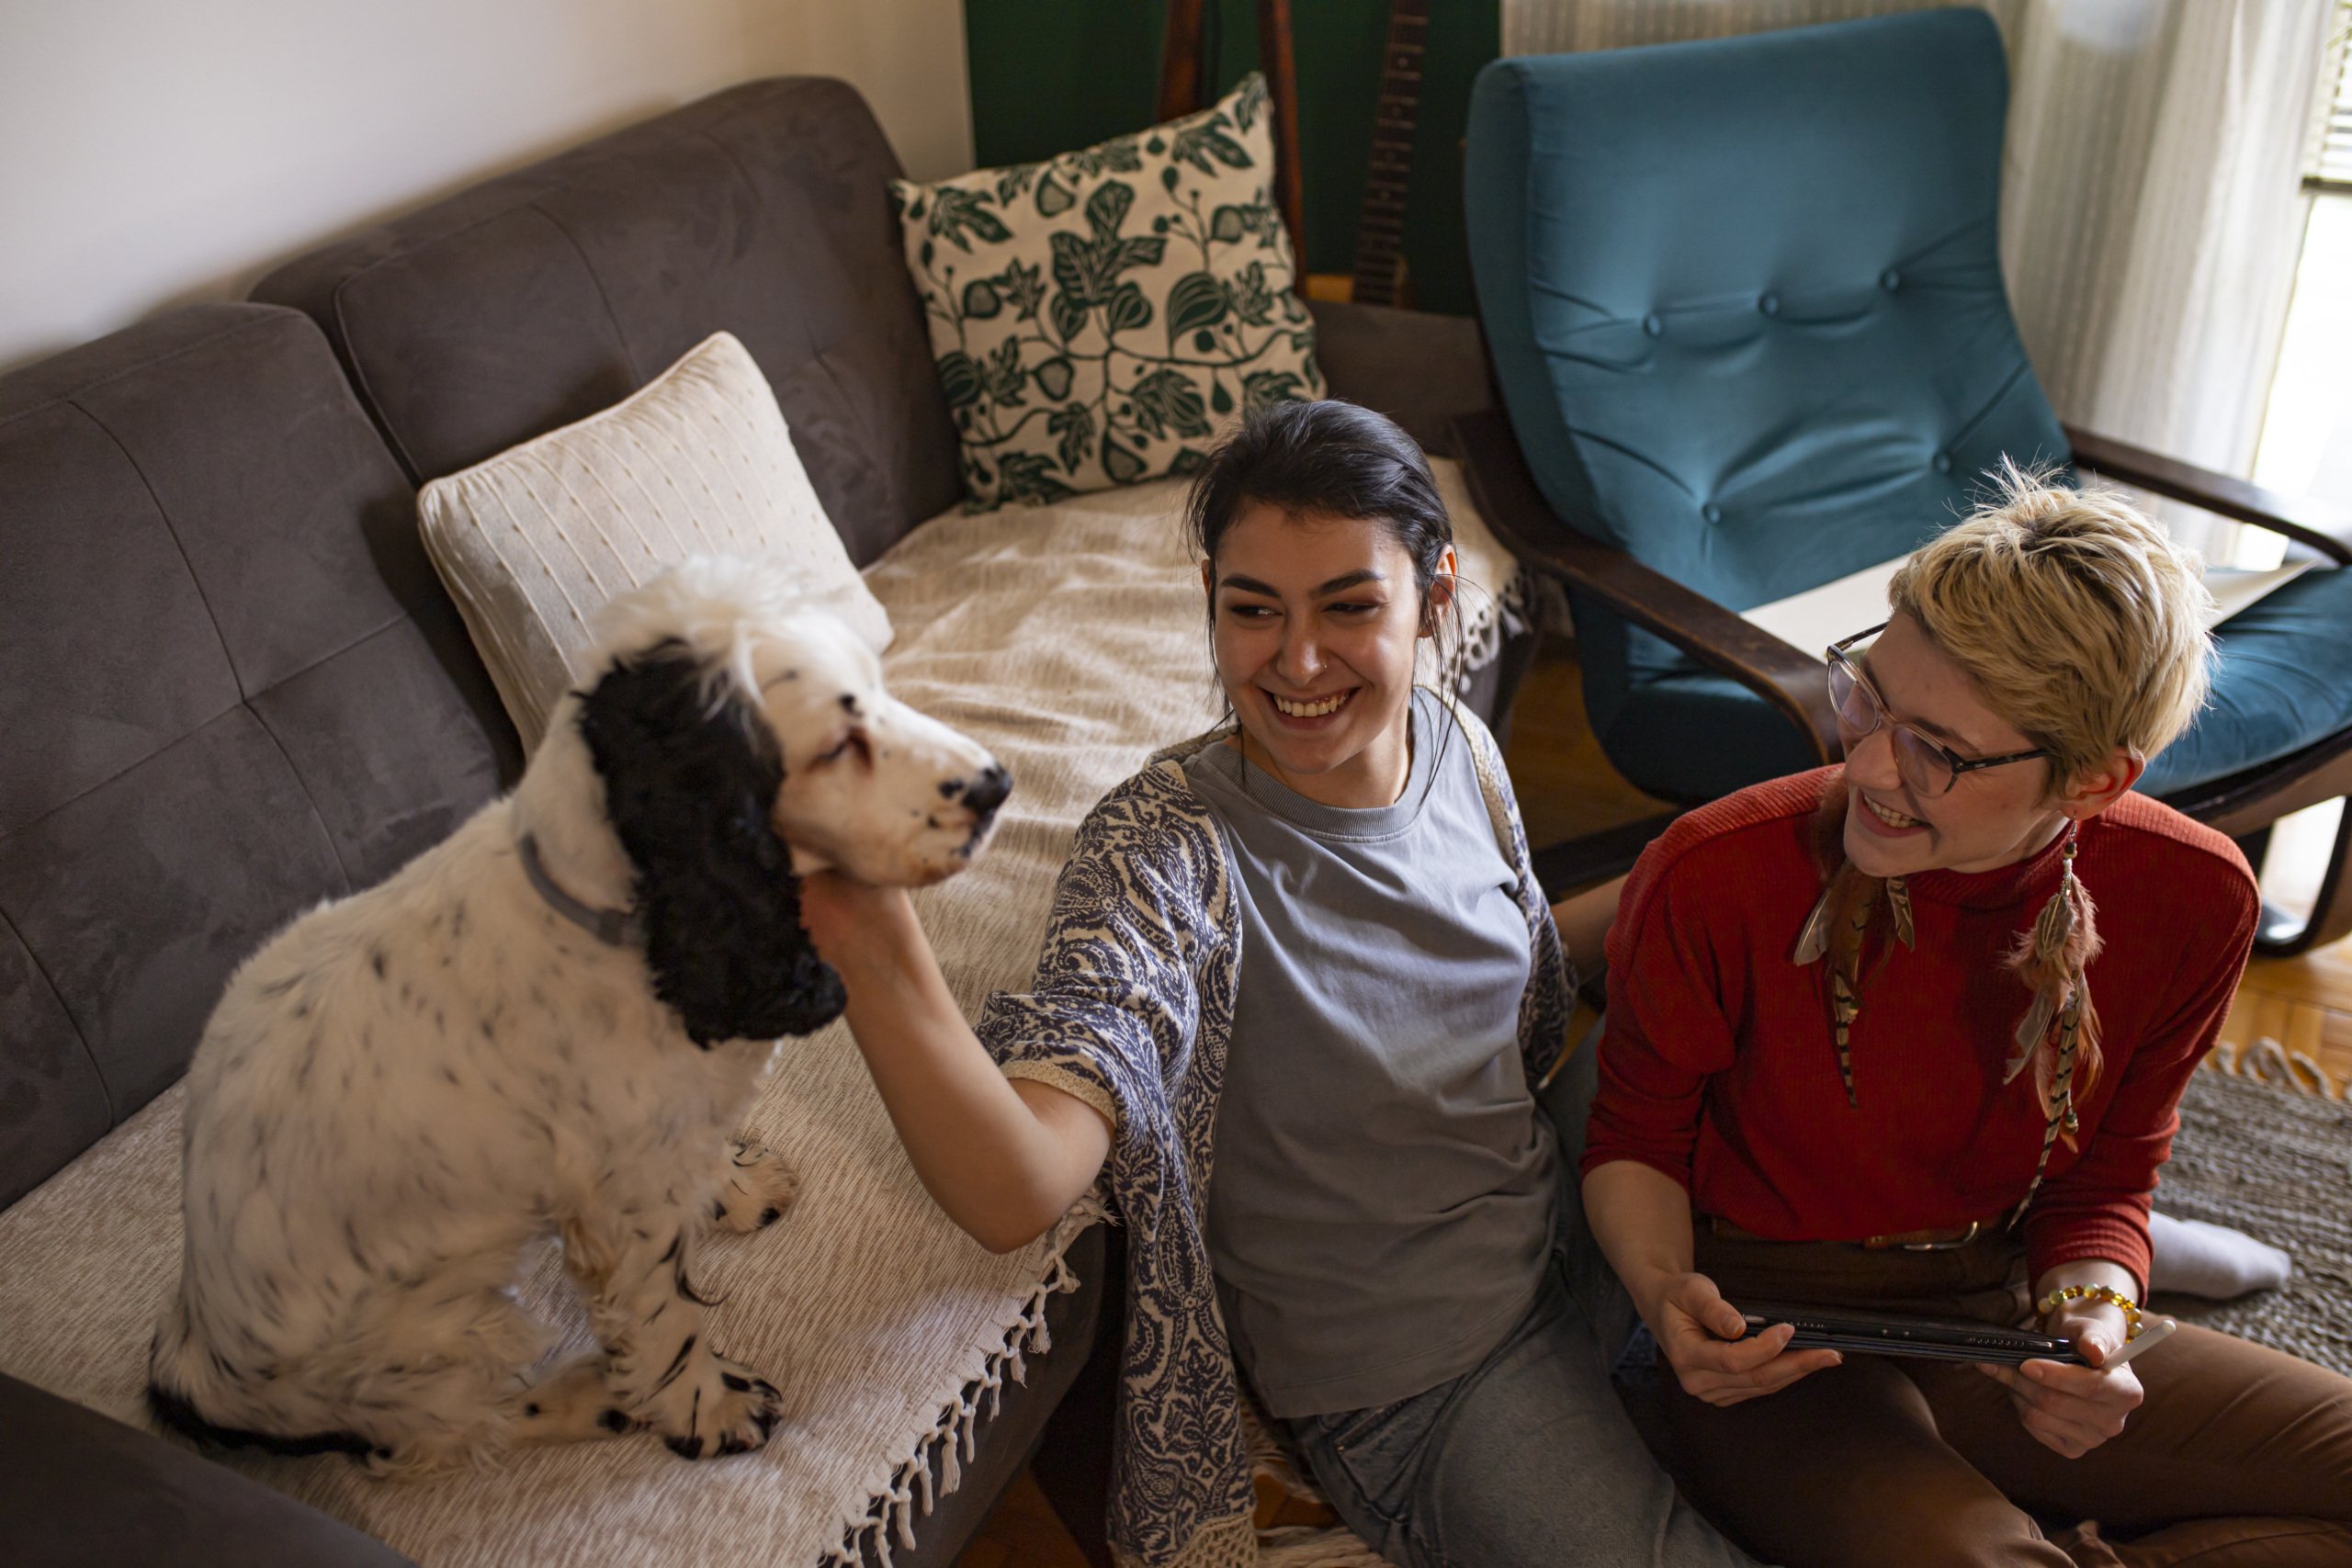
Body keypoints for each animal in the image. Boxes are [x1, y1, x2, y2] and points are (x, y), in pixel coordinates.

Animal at [148, 556, 1009, 1473]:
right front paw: (707, 1409)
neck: (620, 917)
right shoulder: (619, 1203)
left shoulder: (664, 1136)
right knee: (445, 1426)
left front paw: (737, 1189)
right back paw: (590, 1399)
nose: (998, 785)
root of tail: (190, 1361)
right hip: (433, 1334)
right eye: (837, 744)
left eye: (881, 687)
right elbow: (665, 1316)